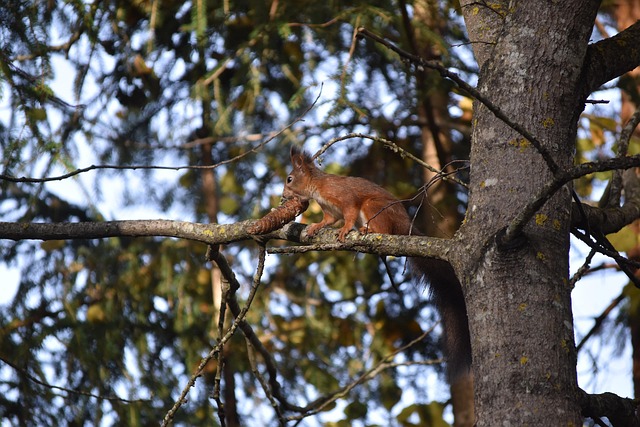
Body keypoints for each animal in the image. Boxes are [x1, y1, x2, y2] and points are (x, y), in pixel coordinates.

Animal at [282, 146, 471, 379]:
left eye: (289, 179)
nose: (283, 196)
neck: (317, 187)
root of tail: (404, 224)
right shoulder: (330, 211)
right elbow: (327, 220)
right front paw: (314, 227)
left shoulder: (344, 198)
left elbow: (349, 213)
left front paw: (345, 229)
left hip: (374, 207)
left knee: (383, 229)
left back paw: (366, 229)